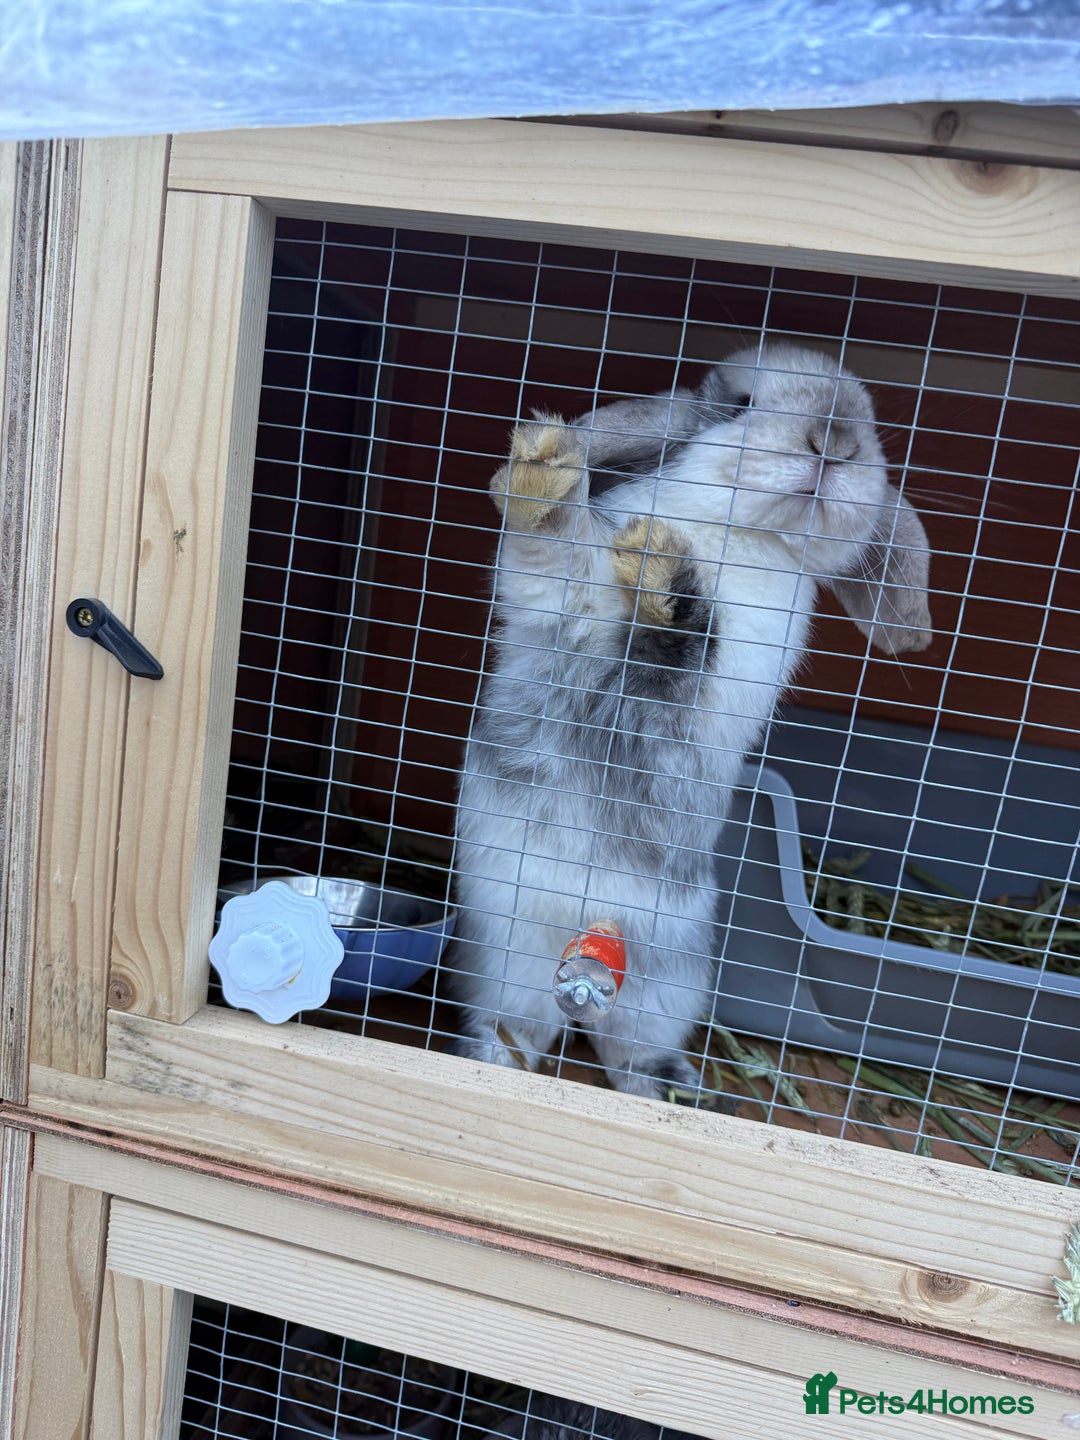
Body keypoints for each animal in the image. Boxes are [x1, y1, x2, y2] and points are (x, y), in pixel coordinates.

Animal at [447, 341, 932, 1100]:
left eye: (872, 428)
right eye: (740, 404)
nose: (836, 444)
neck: (739, 535)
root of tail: (593, 932)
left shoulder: (721, 682)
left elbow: (689, 650)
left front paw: (665, 575)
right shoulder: (571, 599)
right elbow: (556, 548)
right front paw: (548, 461)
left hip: (670, 985)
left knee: (626, 1052)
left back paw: (676, 1088)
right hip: (510, 966)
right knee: (521, 1031)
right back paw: (493, 1067)